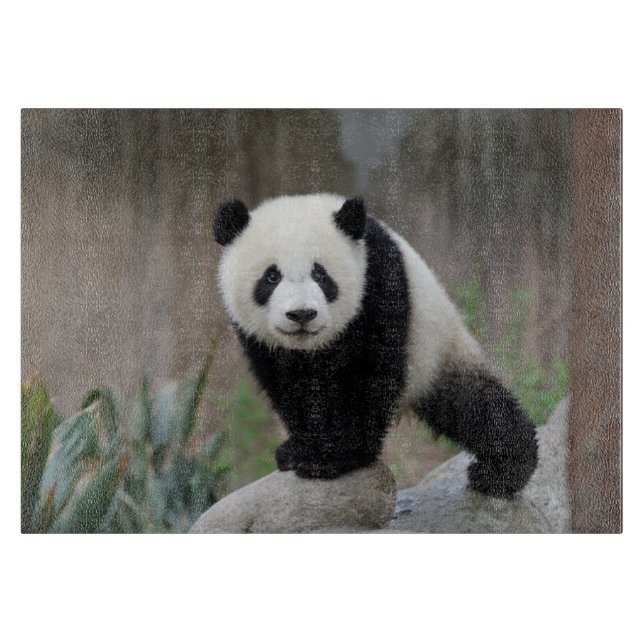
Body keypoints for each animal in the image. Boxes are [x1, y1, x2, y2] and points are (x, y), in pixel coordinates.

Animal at [214, 193, 538, 497]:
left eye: (321, 274)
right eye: (271, 276)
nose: (302, 314)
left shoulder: (379, 281)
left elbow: (370, 374)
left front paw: (334, 456)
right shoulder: (261, 340)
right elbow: (288, 387)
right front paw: (299, 449)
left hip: (435, 347)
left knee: (475, 406)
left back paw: (502, 471)